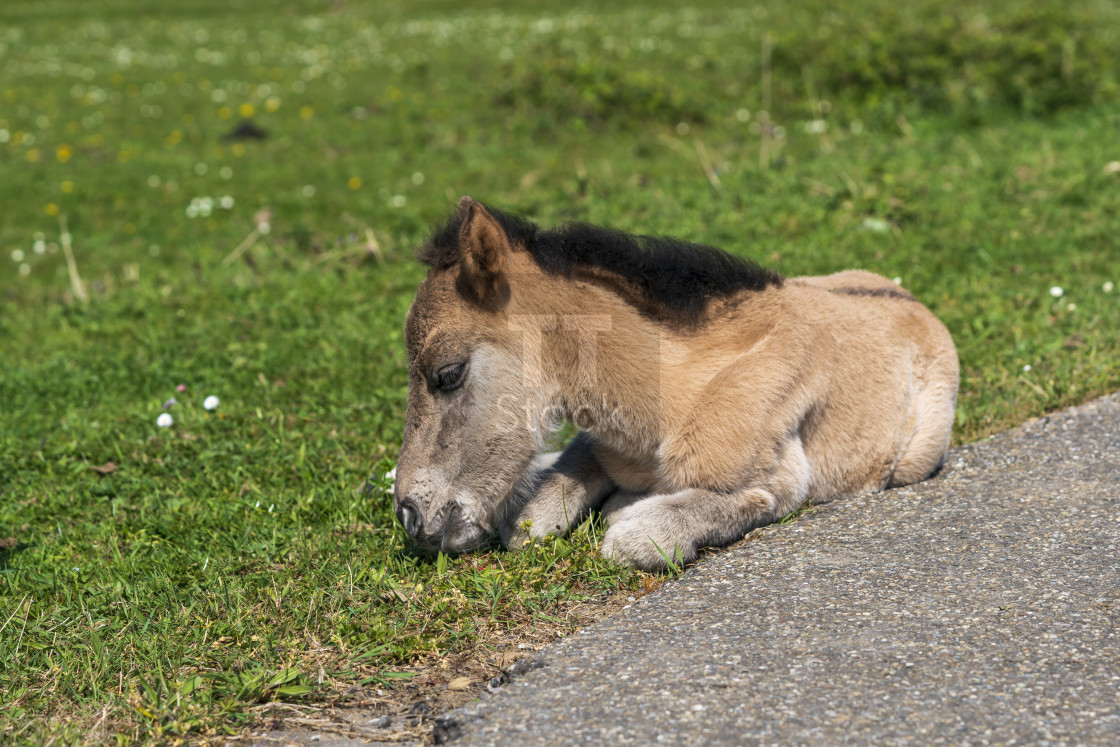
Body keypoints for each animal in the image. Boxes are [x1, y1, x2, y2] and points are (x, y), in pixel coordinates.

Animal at [389, 195, 958, 568]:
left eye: (447, 373)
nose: (411, 517)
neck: (672, 400)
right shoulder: (596, 442)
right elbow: (537, 512)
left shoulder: (780, 480)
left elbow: (665, 527)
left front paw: (628, 517)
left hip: (916, 457)